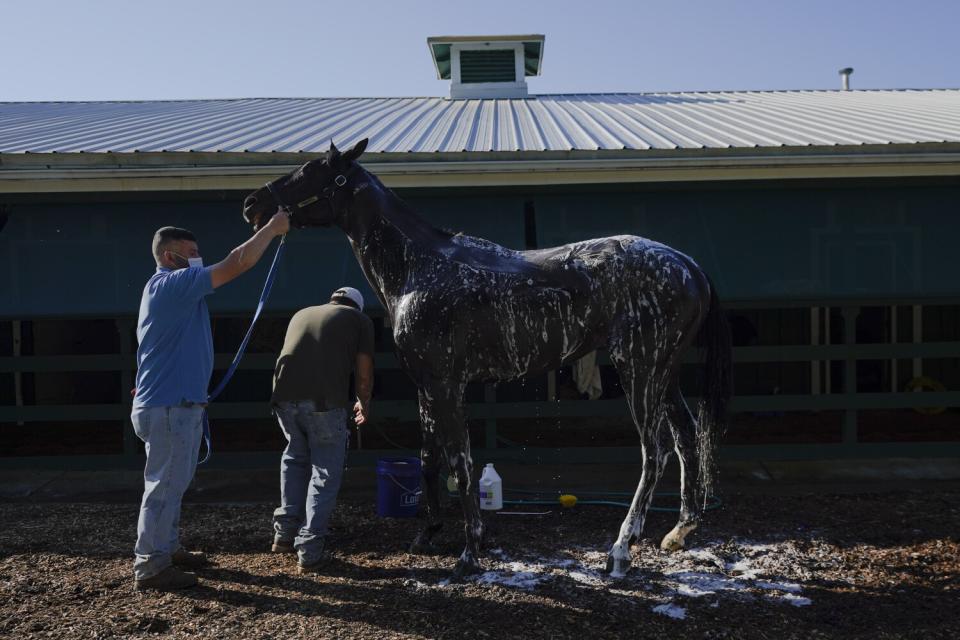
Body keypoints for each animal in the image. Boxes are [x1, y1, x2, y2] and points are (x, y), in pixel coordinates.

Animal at [244, 140, 732, 580]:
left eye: (312, 170)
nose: (253, 204)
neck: (419, 268)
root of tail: (687, 264)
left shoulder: (447, 385)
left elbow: (460, 464)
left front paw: (469, 553)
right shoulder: (427, 386)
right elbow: (429, 458)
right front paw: (428, 535)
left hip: (640, 369)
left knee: (656, 452)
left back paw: (620, 551)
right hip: (663, 373)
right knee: (687, 436)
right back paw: (678, 532)